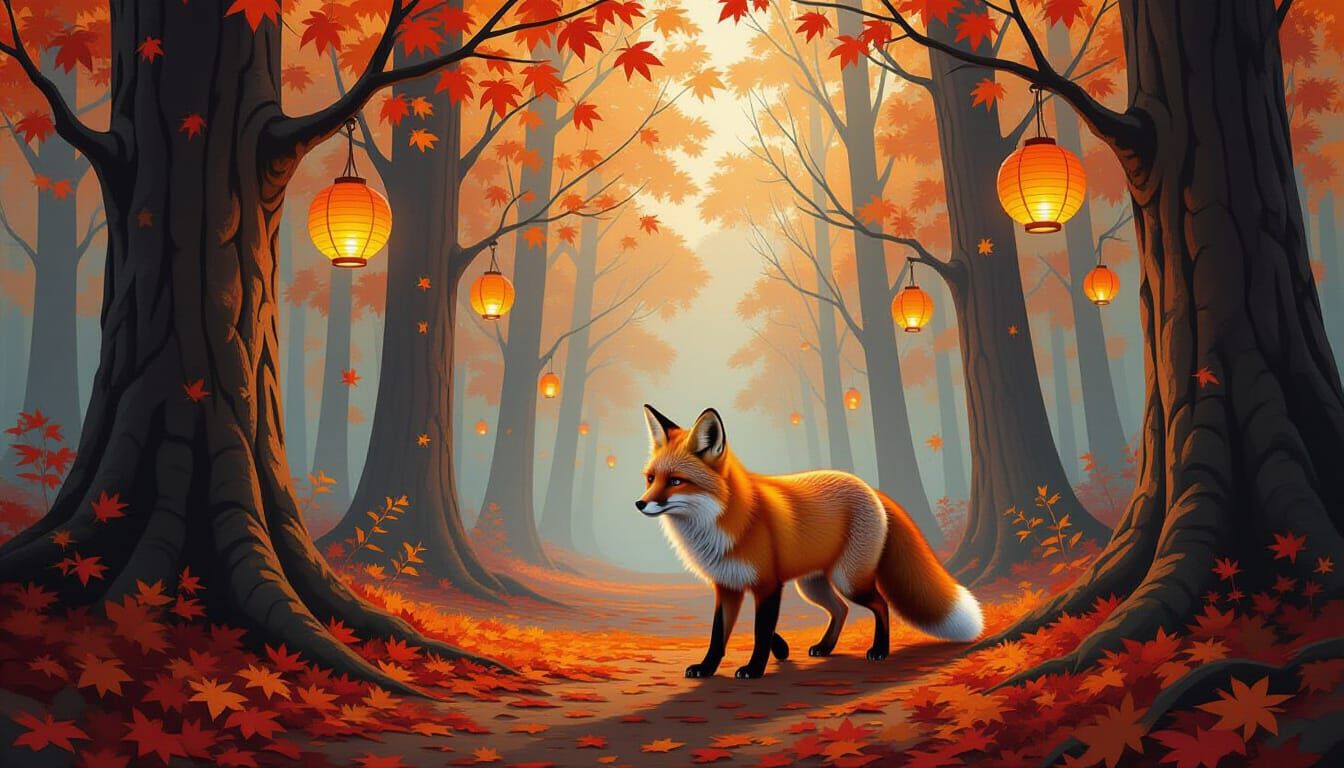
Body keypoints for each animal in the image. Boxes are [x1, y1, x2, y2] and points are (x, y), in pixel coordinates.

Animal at [637, 405, 983, 679]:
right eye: (651, 479)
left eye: (676, 481)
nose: (640, 504)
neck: (724, 523)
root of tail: (869, 487)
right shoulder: (727, 586)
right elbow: (718, 635)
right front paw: (709, 667)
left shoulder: (768, 584)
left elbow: (760, 630)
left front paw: (755, 668)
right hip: (813, 585)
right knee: (841, 609)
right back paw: (826, 647)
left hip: (848, 579)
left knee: (880, 604)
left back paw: (880, 650)